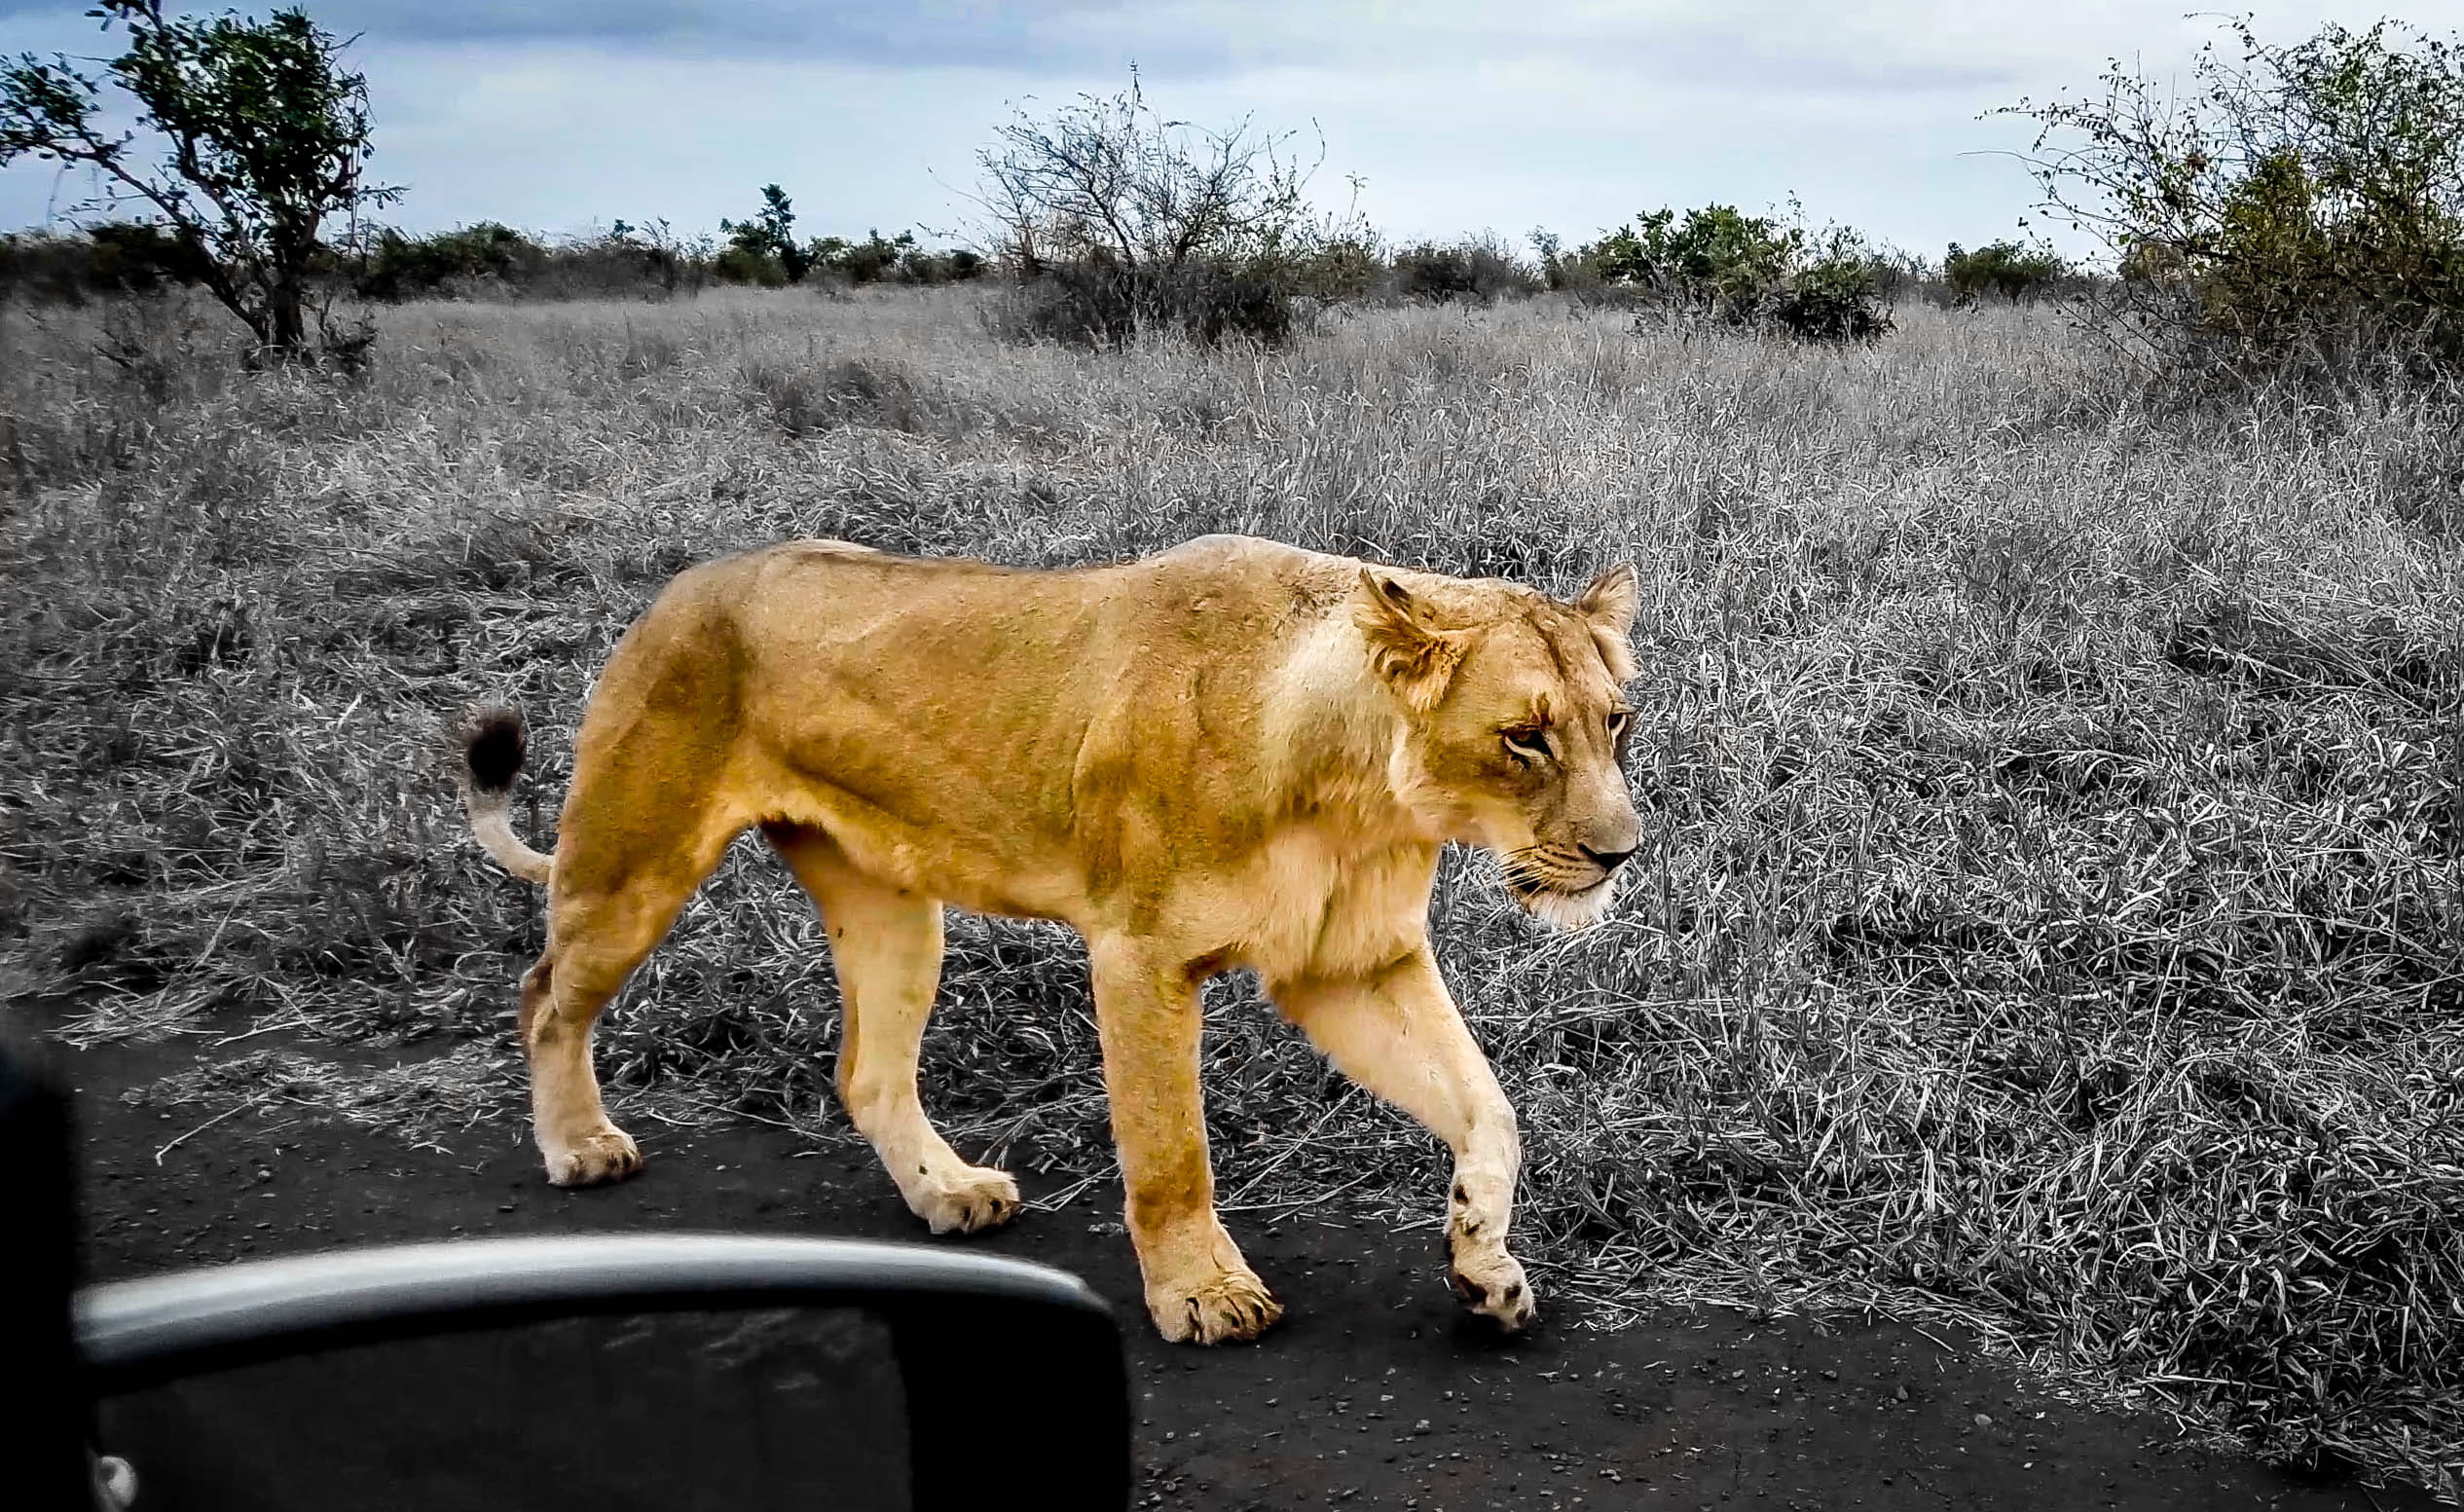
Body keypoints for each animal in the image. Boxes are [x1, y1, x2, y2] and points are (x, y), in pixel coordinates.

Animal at [453, 532, 1643, 1344]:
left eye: (1614, 721)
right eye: (1523, 737)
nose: (1620, 852)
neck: (1360, 796)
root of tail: (676, 586)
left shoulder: (1350, 965)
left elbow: (1489, 1108)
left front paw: (1484, 1263)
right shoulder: (1139, 955)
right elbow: (1170, 1148)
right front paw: (1202, 1291)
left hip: (891, 906)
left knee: (865, 1069)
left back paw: (947, 1192)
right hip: (634, 861)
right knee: (544, 992)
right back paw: (580, 1145)